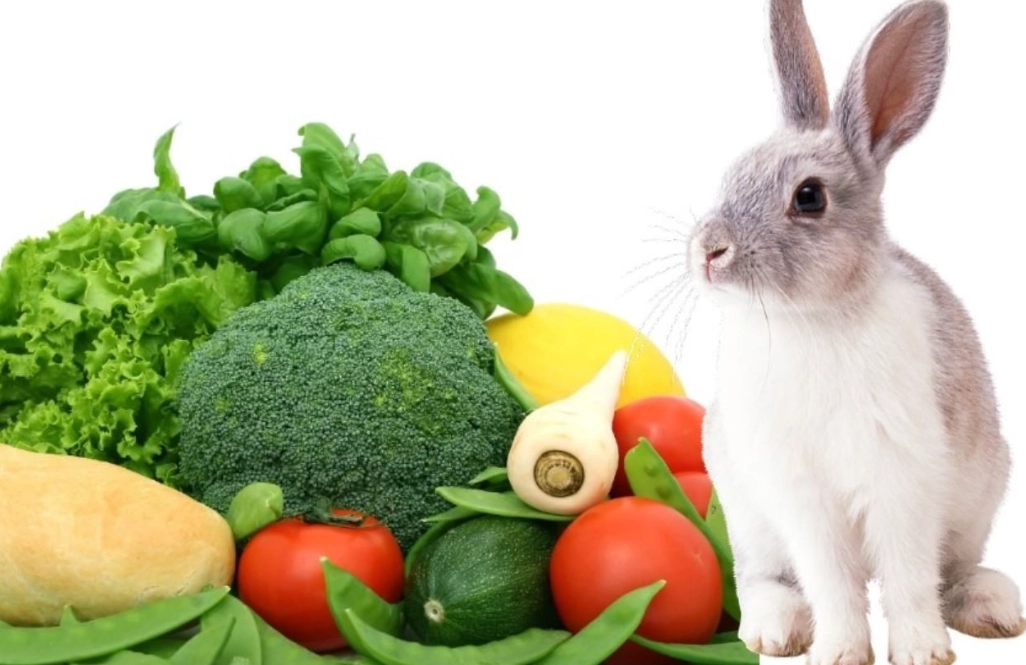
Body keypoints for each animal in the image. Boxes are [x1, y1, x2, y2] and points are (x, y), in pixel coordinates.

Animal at [685, 1, 1024, 664]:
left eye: (809, 197)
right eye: (732, 174)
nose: (708, 250)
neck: (814, 317)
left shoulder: (903, 478)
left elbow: (910, 576)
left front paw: (920, 651)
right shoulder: (801, 495)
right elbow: (831, 579)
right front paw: (841, 651)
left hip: (978, 502)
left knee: (951, 572)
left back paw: (993, 609)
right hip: (748, 516)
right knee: (765, 578)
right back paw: (776, 630)